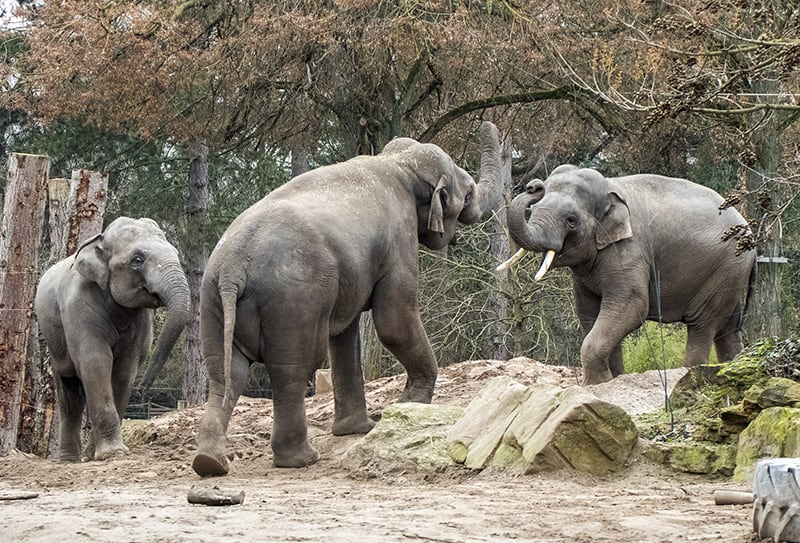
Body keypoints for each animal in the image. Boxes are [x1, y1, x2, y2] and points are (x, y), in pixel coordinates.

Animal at [35, 215, 191, 462]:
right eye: (137, 260)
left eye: (175, 253)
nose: (143, 389)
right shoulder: (79, 307)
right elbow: (96, 362)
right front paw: (113, 453)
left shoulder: (141, 320)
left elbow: (124, 370)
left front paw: (104, 454)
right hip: (53, 341)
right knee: (68, 392)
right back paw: (69, 460)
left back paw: (85, 456)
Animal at [192, 122, 506, 476]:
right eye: (467, 194)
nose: (485, 124)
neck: (399, 163)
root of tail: (233, 267)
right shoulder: (400, 237)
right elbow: (394, 321)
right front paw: (407, 406)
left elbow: (345, 334)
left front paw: (360, 428)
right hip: (292, 302)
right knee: (291, 370)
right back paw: (301, 459)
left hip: (212, 301)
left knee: (226, 373)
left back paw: (210, 463)